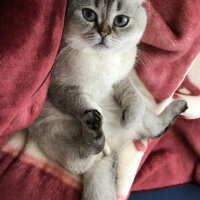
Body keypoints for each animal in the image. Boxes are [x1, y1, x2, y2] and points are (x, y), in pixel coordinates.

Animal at [28, 0, 188, 199]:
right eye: (89, 15)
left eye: (121, 21)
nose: (103, 34)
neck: (103, 59)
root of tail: (112, 149)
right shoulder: (64, 90)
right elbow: (84, 104)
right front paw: (95, 115)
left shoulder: (120, 80)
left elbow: (134, 100)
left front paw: (127, 121)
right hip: (52, 130)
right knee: (81, 159)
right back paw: (95, 128)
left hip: (141, 119)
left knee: (153, 127)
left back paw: (180, 106)